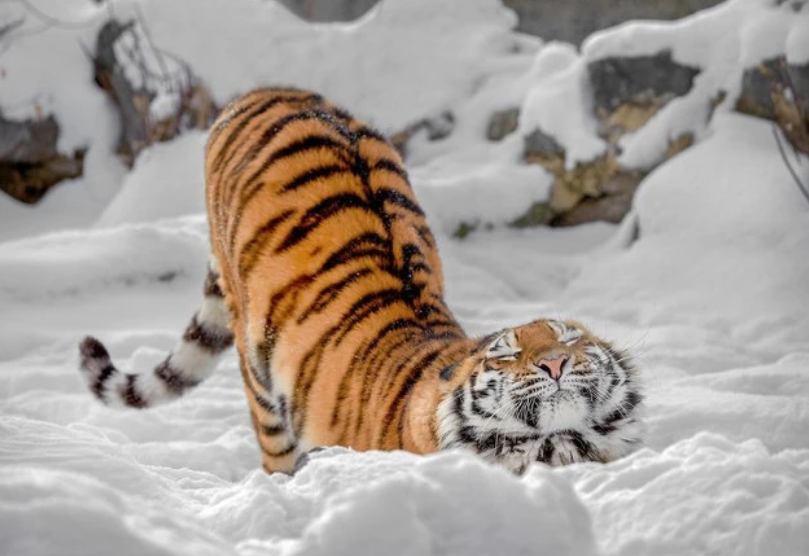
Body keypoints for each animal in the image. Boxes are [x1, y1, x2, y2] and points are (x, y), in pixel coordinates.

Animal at [78, 87, 644, 475]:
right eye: (506, 353)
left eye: (570, 339)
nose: (555, 363)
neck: (556, 445)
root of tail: (265, 91)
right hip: (257, 368)